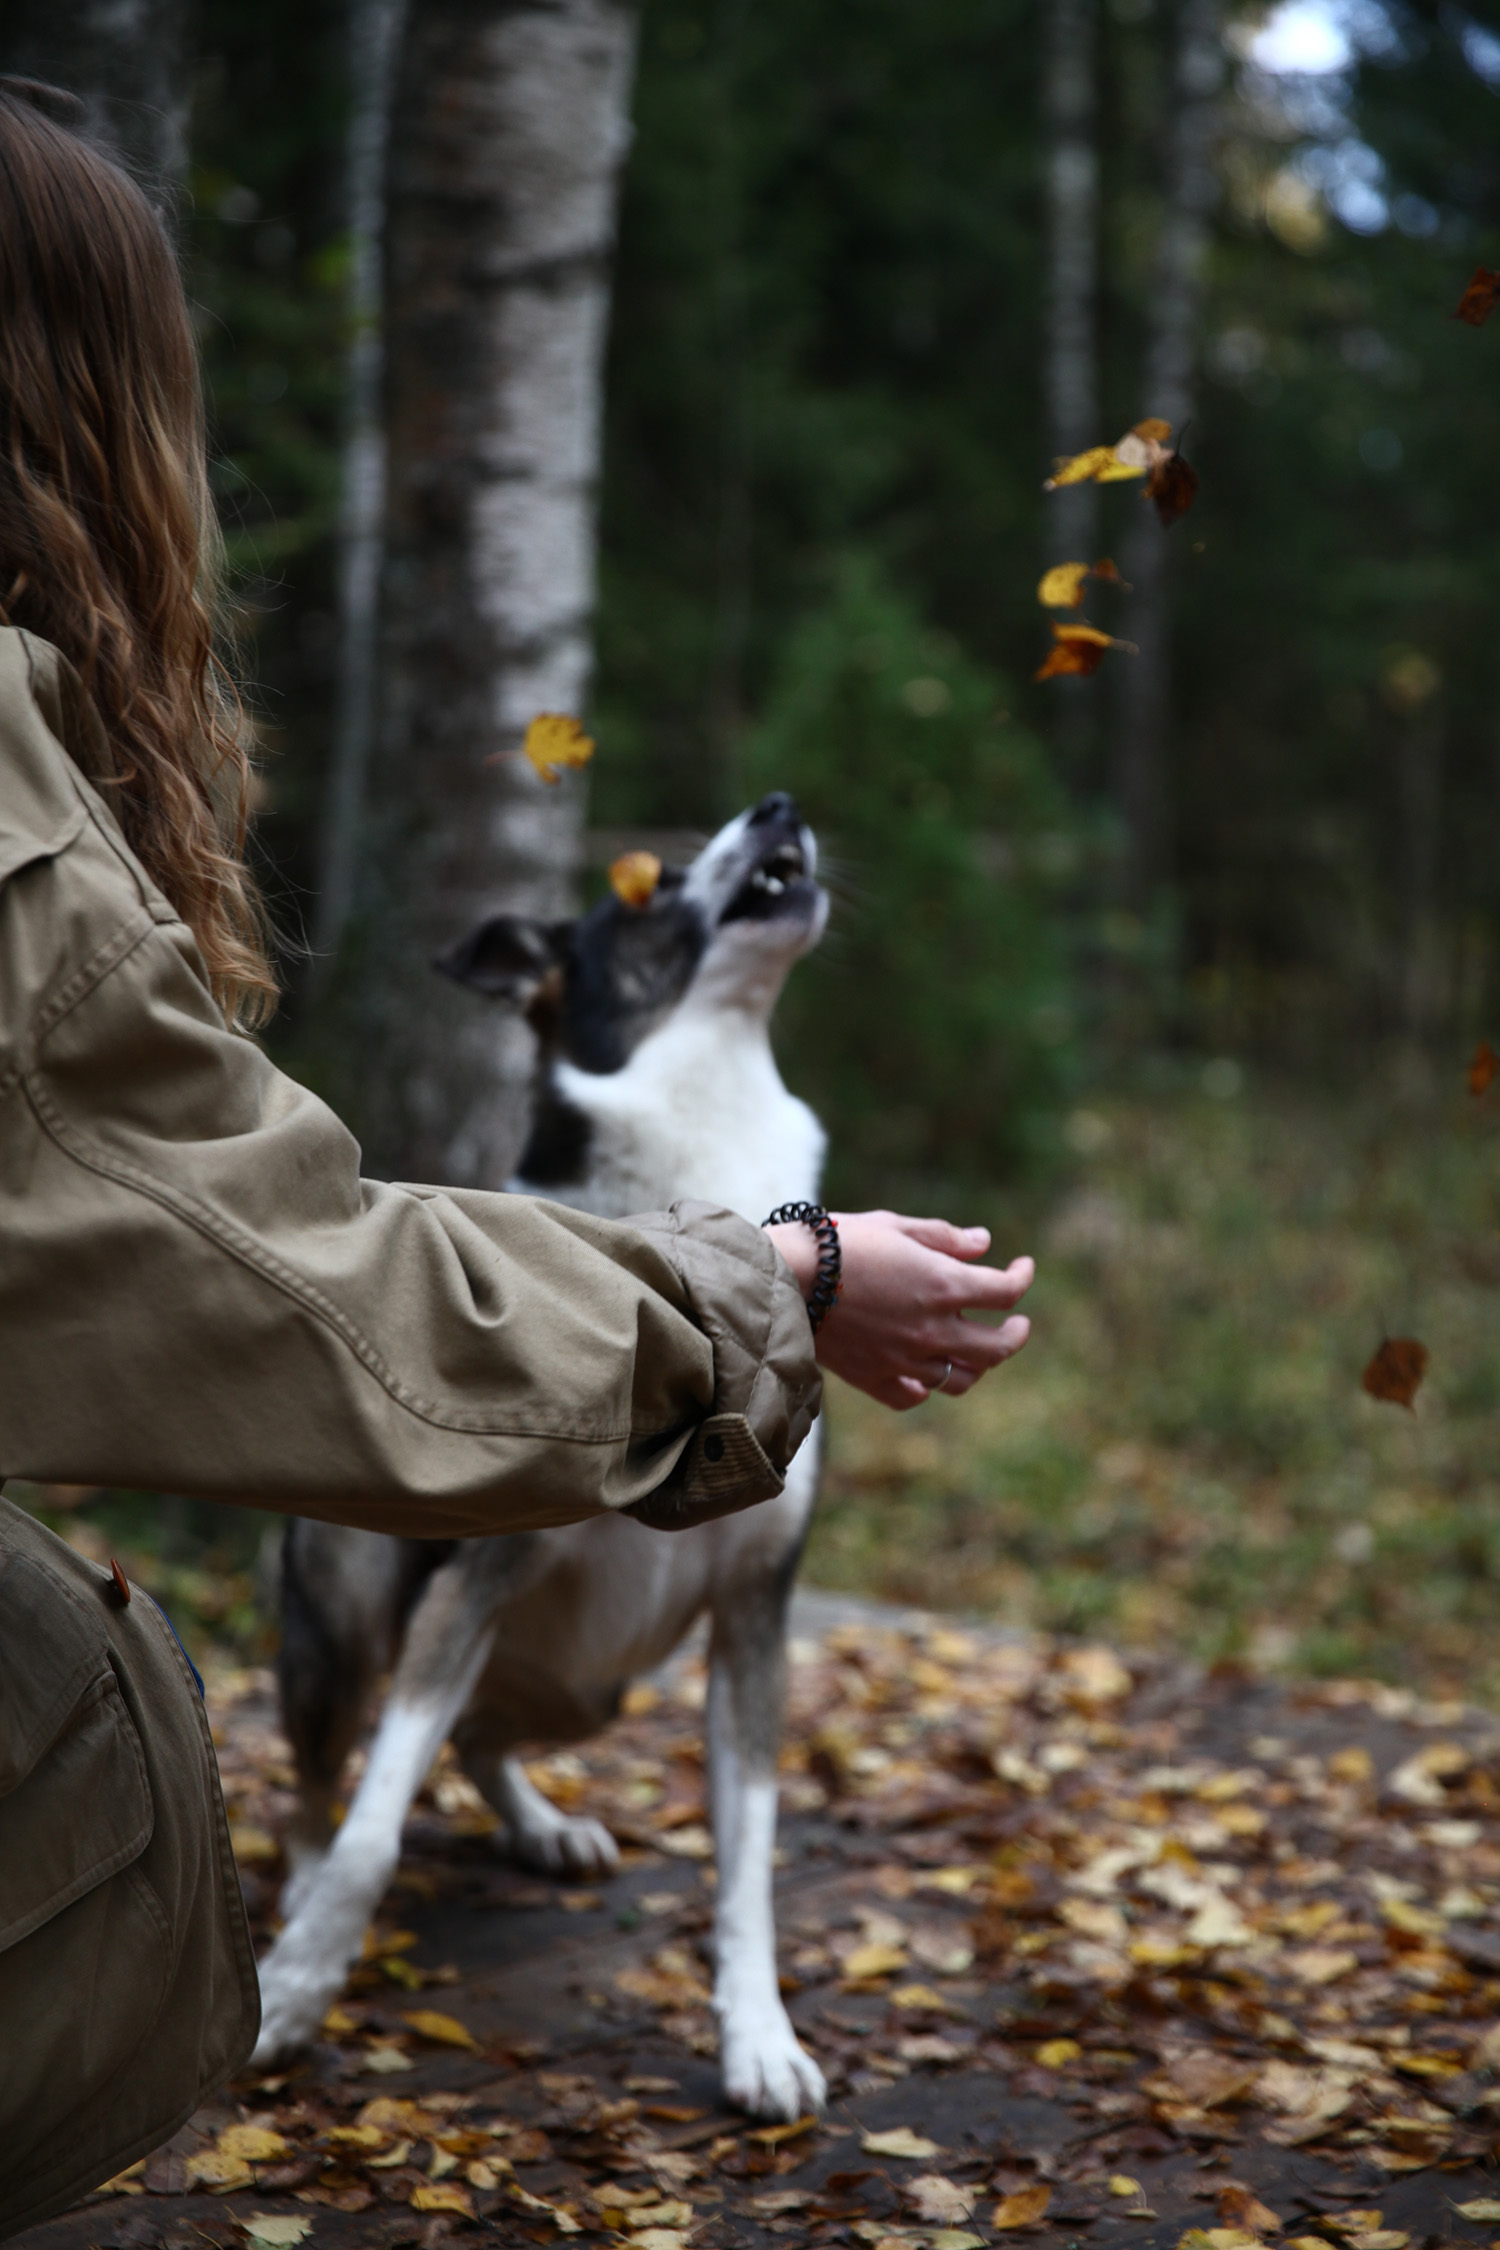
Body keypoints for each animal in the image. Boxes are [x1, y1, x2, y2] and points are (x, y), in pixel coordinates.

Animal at [255, 801, 832, 2115]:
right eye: (649, 885)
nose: (779, 808)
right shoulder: (471, 1575)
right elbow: (372, 1827)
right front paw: (297, 1988)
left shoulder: (756, 1608)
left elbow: (752, 1865)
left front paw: (759, 2038)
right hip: (347, 1611)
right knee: (326, 1780)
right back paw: (304, 1889)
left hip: (595, 1683)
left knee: (478, 1732)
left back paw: (540, 1823)